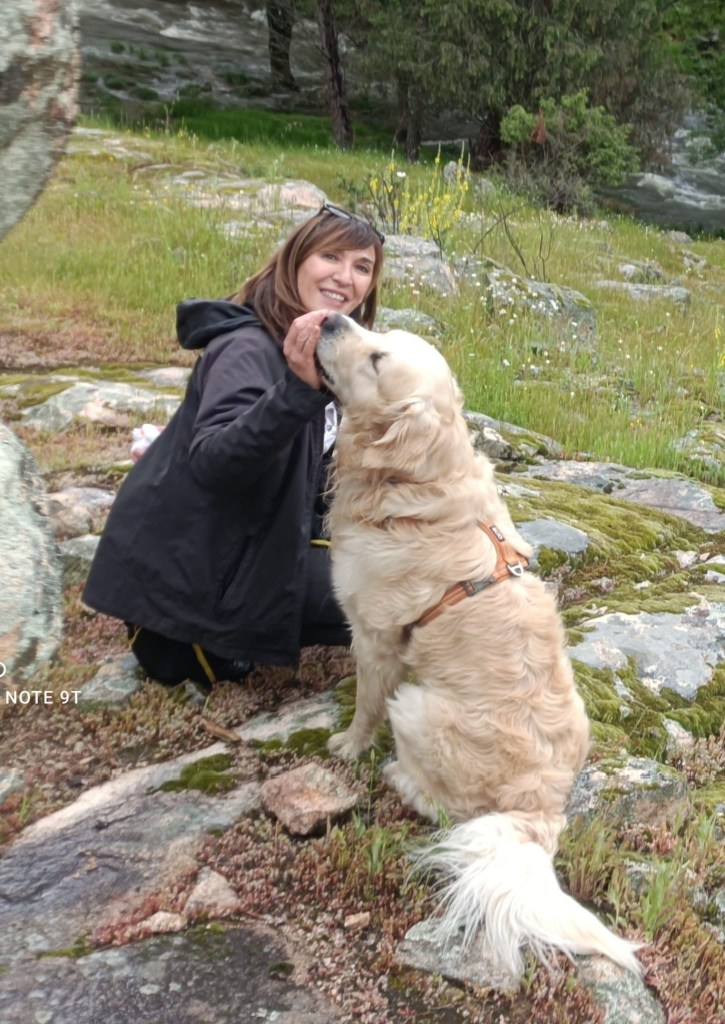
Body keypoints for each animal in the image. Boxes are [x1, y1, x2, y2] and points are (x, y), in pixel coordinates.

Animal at [315, 313, 641, 979]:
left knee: (440, 804)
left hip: (416, 706)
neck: (418, 489)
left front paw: (349, 746)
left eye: (378, 358)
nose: (332, 317)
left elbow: (364, 705)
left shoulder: (376, 636)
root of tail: (539, 813)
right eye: (377, 333)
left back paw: (396, 774)